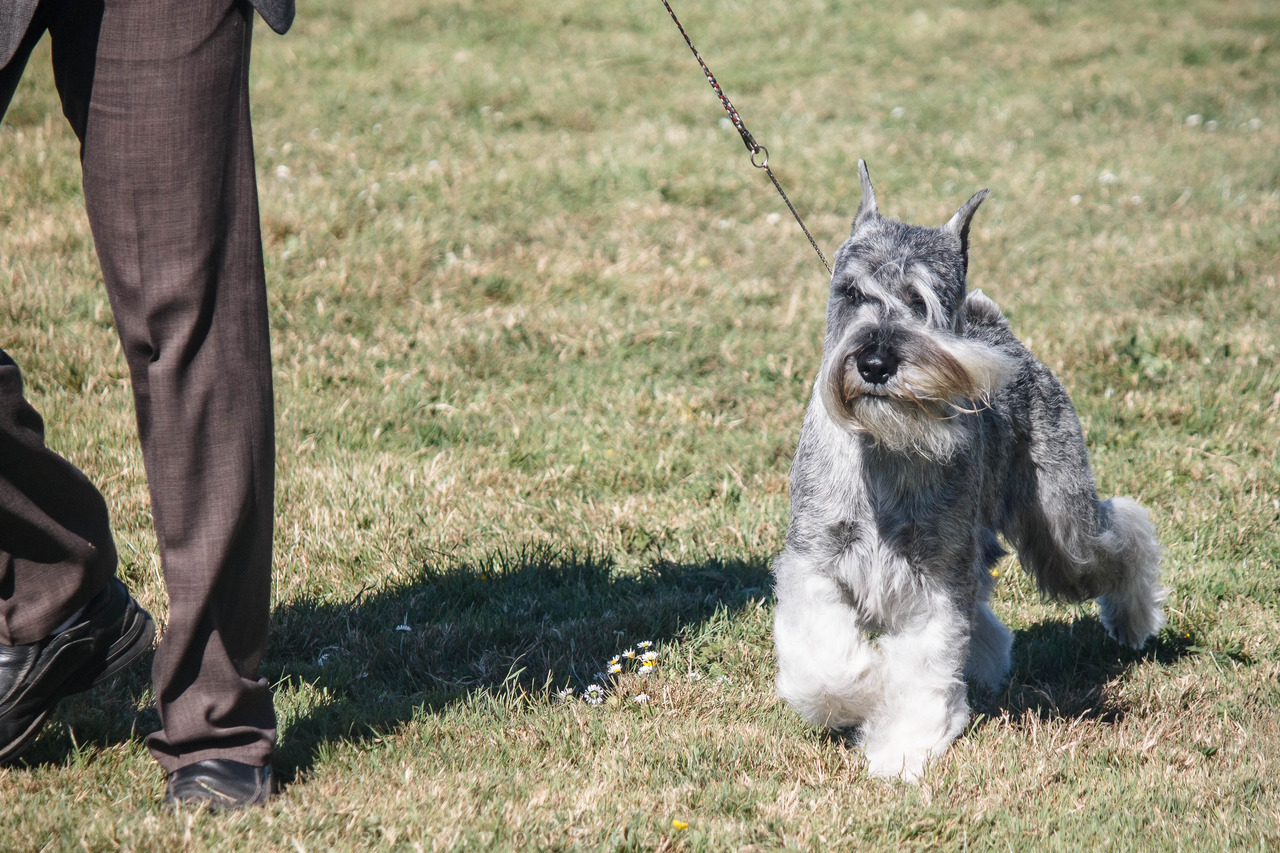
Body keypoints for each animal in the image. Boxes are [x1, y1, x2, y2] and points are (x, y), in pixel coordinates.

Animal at [773, 162, 1167, 778]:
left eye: (921, 301)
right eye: (851, 292)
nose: (875, 362)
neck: (887, 448)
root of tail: (1000, 331)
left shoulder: (936, 578)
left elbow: (923, 667)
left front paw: (903, 750)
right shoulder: (815, 559)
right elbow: (823, 662)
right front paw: (862, 693)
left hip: (1062, 533)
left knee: (1122, 534)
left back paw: (1136, 621)